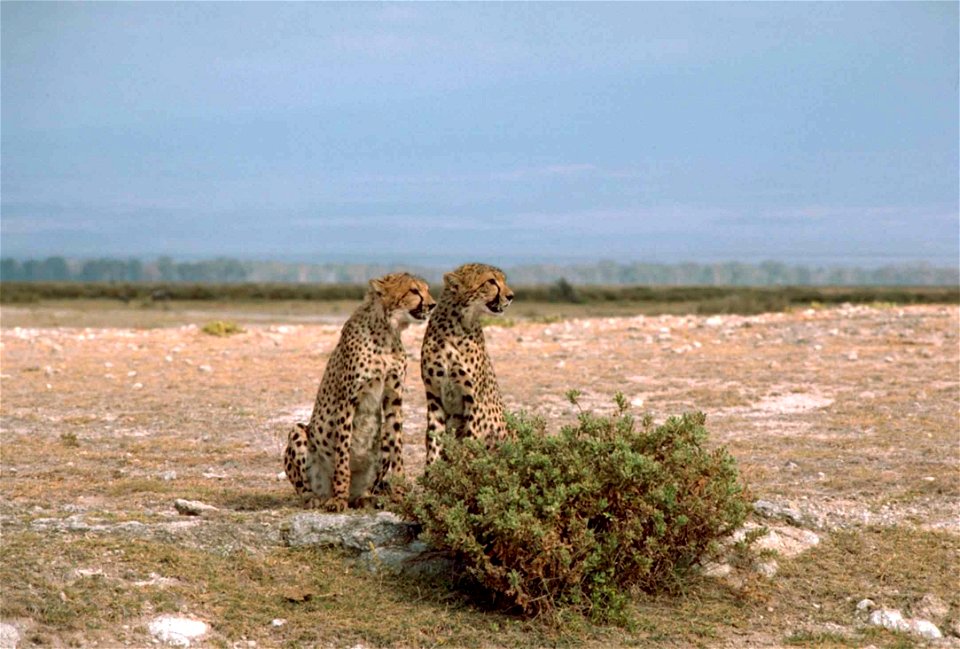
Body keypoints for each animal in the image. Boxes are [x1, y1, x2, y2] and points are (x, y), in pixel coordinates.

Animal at [284, 270, 436, 508]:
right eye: (414, 291)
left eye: (427, 290)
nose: (432, 304)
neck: (387, 330)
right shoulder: (348, 399)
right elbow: (343, 452)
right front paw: (339, 498)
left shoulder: (394, 398)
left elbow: (398, 447)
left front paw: (400, 494)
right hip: (298, 433)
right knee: (306, 488)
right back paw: (317, 498)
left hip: (379, 440)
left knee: (368, 484)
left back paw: (366, 497)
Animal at [418, 260, 510, 464]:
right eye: (491, 281)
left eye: (504, 280)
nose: (511, 296)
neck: (456, 324)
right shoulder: (434, 396)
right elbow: (434, 438)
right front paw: (433, 470)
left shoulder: (473, 399)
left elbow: (469, 440)